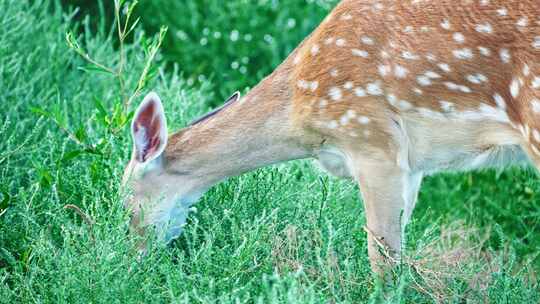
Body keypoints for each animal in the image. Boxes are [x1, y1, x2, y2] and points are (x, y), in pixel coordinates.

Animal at [122, 0, 540, 274]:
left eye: (125, 201)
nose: (133, 260)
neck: (299, 116)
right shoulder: (414, 166)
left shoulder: (373, 140)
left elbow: (382, 262)